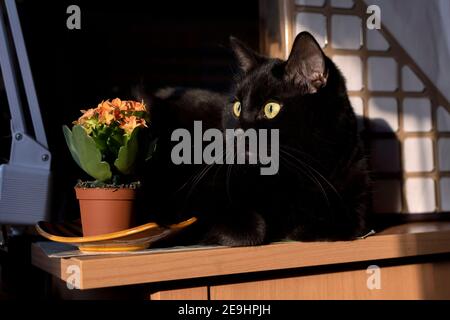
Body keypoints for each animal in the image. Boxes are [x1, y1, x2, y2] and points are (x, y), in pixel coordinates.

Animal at [139, 32, 370, 246]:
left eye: (271, 108)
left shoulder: (355, 204)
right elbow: (249, 228)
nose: (239, 132)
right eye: (237, 107)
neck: (299, 173)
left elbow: (343, 221)